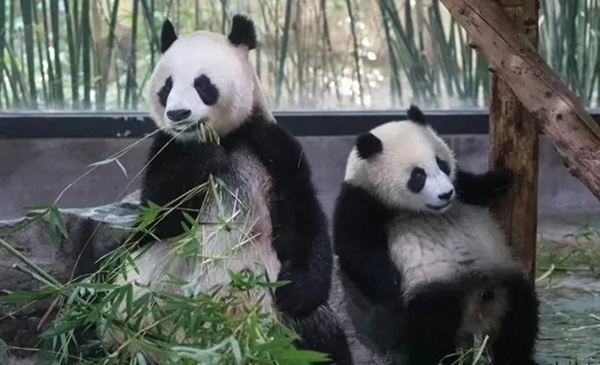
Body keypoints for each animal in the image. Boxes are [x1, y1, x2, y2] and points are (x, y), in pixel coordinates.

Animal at [98, 14, 352, 364]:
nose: (178, 114)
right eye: (167, 86)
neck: (222, 137)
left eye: (202, 84)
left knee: (322, 340)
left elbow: (303, 217)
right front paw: (204, 159)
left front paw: (297, 290)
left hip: (282, 327)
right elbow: (158, 216)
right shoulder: (166, 148)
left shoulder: (270, 146)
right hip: (128, 312)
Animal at [332, 104, 540, 364]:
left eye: (441, 164)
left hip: (501, 277)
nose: (445, 194)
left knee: (521, 312)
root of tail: (475, 313)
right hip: (434, 288)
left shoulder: (461, 187)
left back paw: (515, 357)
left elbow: (472, 186)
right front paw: (390, 282)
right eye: (418, 175)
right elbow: (354, 249)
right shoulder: (359, 200)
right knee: (431, 328)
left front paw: (500, 178)